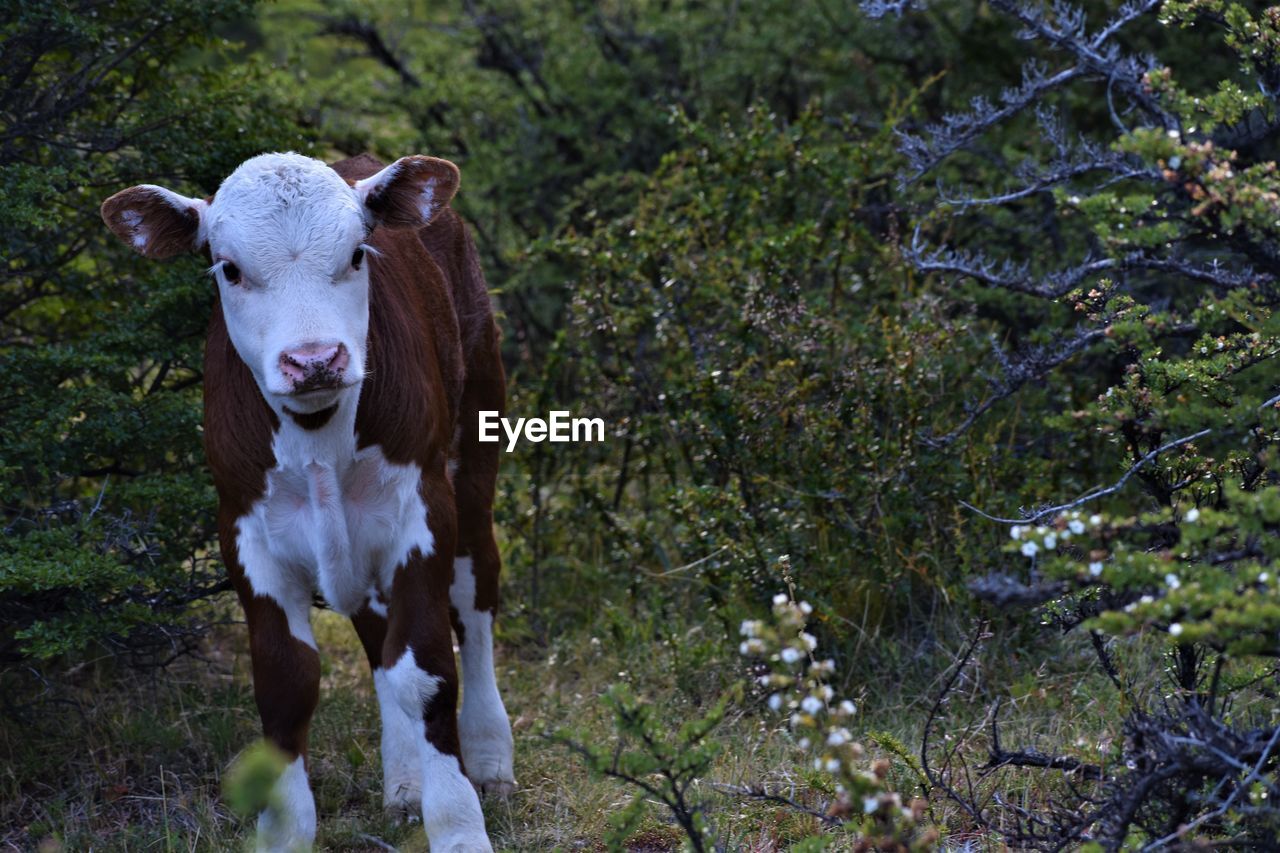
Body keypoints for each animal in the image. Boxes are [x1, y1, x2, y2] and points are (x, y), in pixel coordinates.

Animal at [101, 154, 514, 850]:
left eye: (356, 254)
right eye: (229, 268)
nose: (314, 360)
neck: (320, 435)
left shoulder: (422, 512)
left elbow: (426, 669)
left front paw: (459, 825)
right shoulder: (245, 532)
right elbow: (287, 683)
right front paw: (286, 831)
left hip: (475, 445)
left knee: (474, 598)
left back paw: (488, 756)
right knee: (379, 638)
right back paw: (405, 782)